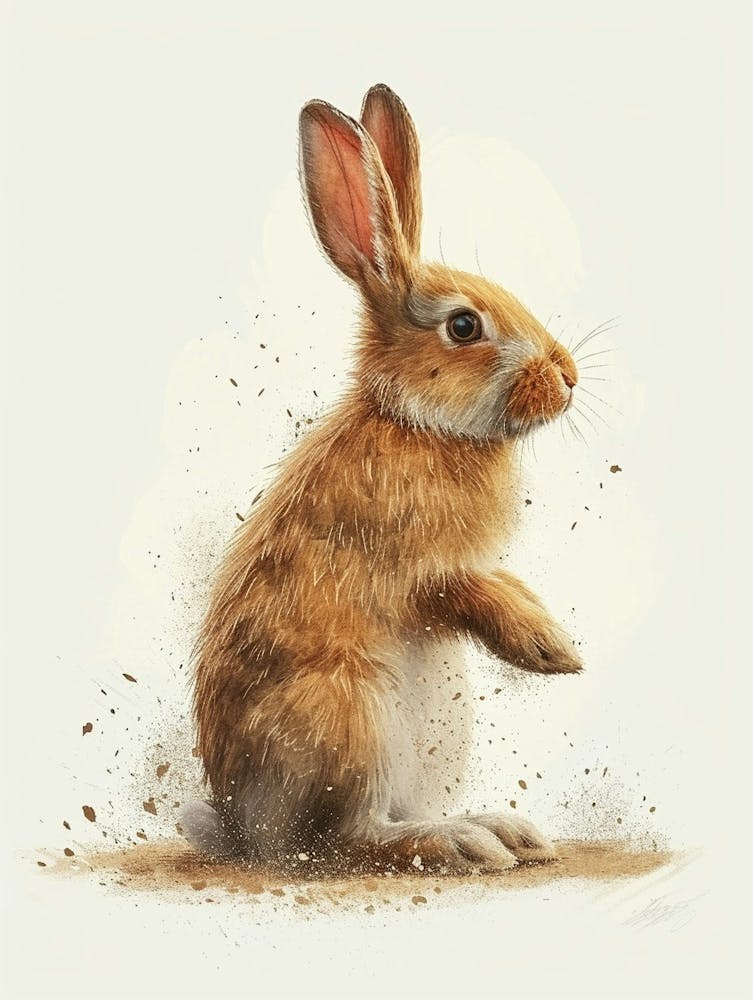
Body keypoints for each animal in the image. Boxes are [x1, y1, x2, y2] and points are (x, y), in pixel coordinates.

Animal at [178, 84, 582, 873]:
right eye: (464, 327)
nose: (568, 378)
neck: (419, 424)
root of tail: (242, 831)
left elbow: (497, 582)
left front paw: (552, 636)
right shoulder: (417, 564)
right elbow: (465, 591)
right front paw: (546, 648)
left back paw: (505, 829)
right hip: (352, 714)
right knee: (345, 838)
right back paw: (463, 844)